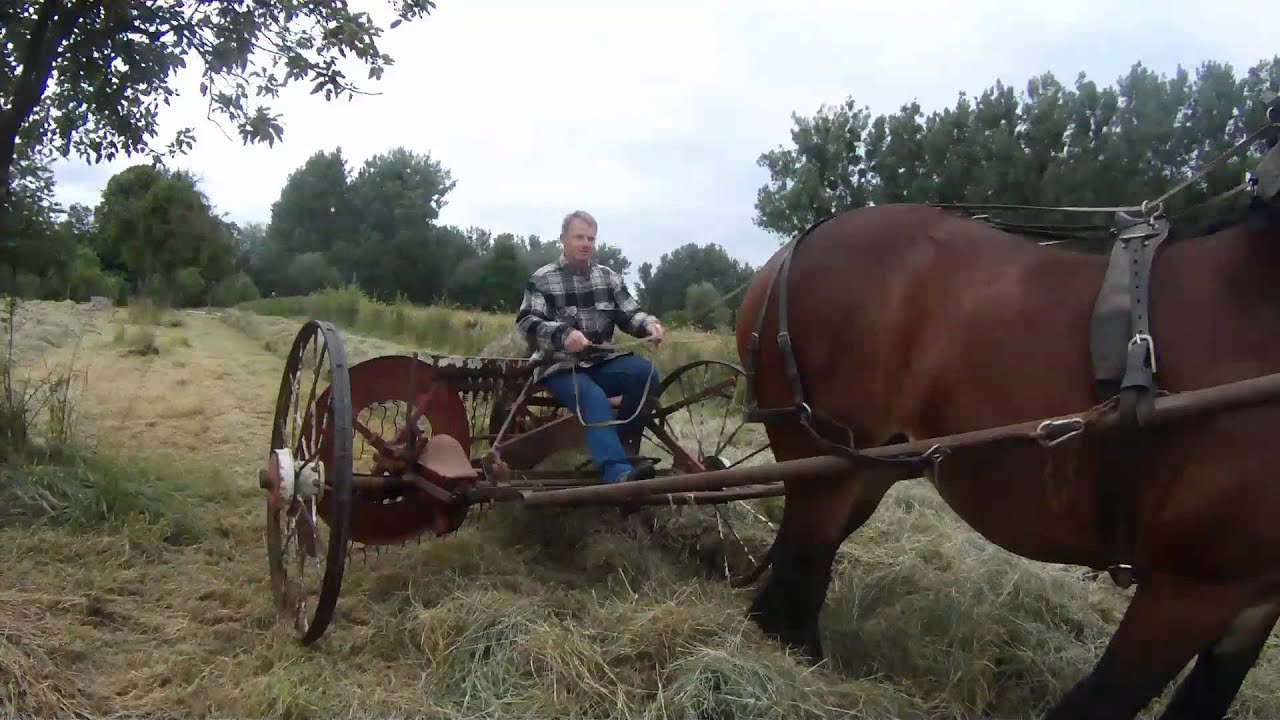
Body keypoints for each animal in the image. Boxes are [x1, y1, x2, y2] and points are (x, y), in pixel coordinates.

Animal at [734, 188, 1280, 719]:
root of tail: (800, 243)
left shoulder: (1253, 598)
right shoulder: (1191, 587)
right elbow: (1101, 701)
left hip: (869, 469)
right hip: (825, 467)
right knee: (798, 581)